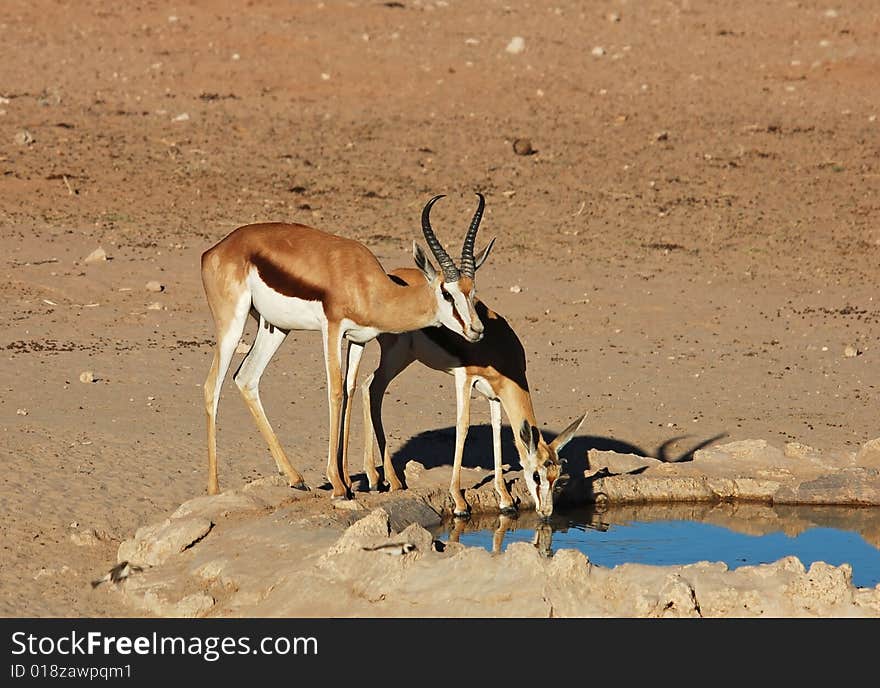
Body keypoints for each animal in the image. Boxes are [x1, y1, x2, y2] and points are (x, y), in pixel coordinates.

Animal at [199, 194, 496, 500]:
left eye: (472, 290)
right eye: (446, 292)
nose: (477, 330)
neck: (366, 284)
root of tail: (216, 250)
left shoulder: (358, 339)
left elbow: (350, 389)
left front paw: (348, 481)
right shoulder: (332, 330)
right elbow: (335, 391)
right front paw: (338, 485)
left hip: (275, 328)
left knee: (246, 378)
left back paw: (295, 478)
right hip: (231, 326)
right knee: (212, 386)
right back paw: (214, 490)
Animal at [360, 284, 588, 516]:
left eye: (557, 476)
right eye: (536, 475)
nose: (546, 512)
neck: (498, 347)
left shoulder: (494, 395)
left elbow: (497, 430)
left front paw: (505, 499)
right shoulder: (464, 378)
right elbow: (463, 426)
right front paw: (459, 501)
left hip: (404, 357)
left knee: (370, 386)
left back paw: (380, 479)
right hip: (396, 354)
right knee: (372, 388)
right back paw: (383, 480)